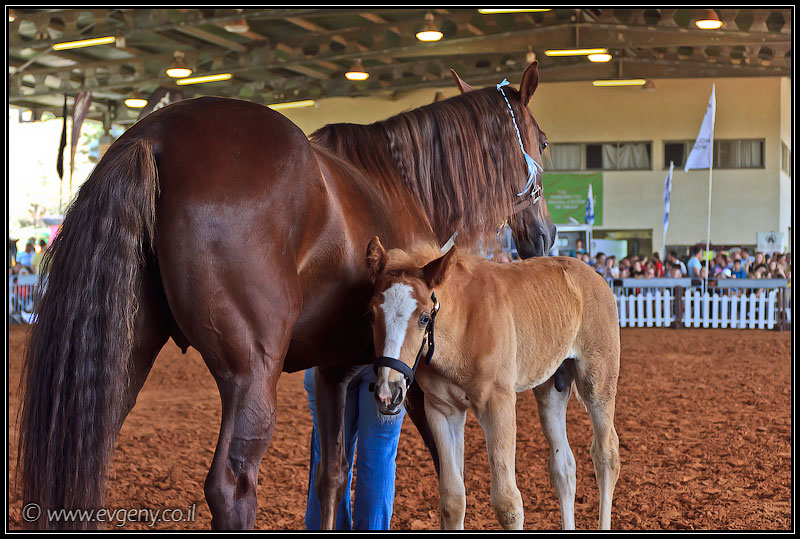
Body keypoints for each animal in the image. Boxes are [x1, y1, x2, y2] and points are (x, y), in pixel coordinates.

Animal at [18, 61, 556, 530]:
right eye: (545, 141)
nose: (546, 235)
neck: (402, 184)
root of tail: (153, 135)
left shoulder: (335, 370)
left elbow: (332, 474)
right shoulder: (412, 379)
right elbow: (446, 474)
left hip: (122, 356)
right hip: (251, 370)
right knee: (232, 484)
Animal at [365, 238, 620, 530]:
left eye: (424, 318)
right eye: (370, 315)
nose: (388, 392)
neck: (464, 324)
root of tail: (595, 275)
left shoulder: (498, 404)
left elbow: (507, 504)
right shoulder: (442, 410)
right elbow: (452, 500)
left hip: (597, 383)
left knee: (606, 455)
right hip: (550, 390)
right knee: (563, 465)